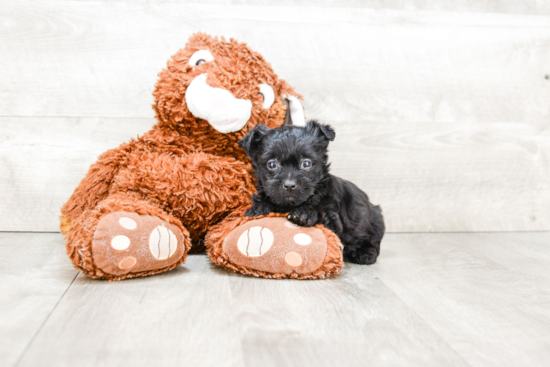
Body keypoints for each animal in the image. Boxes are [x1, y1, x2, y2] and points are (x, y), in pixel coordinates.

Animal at [239, 122, 386, 266]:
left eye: (306, 163)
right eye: (272, 164)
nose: (289, 185)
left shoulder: (333, 219)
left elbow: (320, 211)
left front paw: (304, 213)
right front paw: (258, 208)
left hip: (374, 222)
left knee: (373, 241)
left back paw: (365, 254)